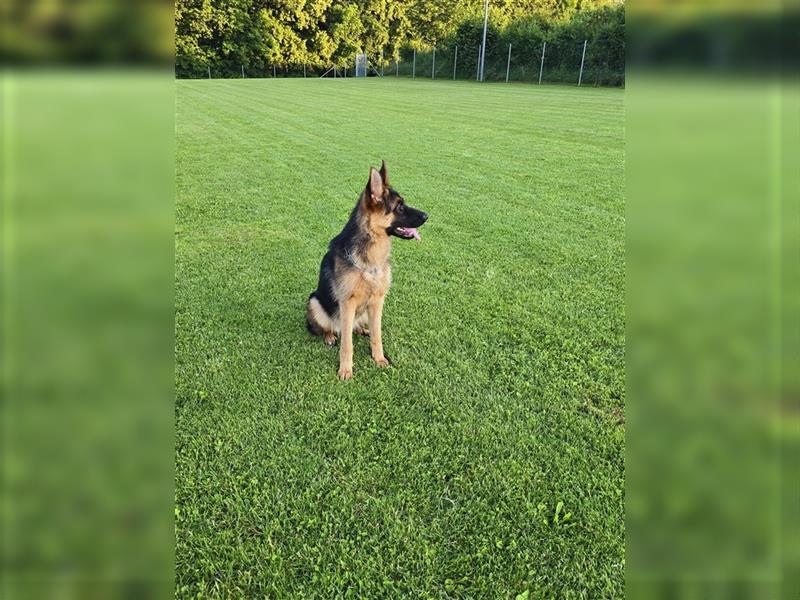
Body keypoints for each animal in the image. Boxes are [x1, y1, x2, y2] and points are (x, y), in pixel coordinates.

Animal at [308, 161, 432, 380]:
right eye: (399, 206)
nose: (427, 216)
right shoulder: (347, 303)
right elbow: (346, 344)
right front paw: (346, 369)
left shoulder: (377, 301)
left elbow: (377, 335)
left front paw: (379, 358)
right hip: (314, 301)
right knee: (331, 328)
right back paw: (330, 336)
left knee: (357, 327)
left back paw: (362, 329)